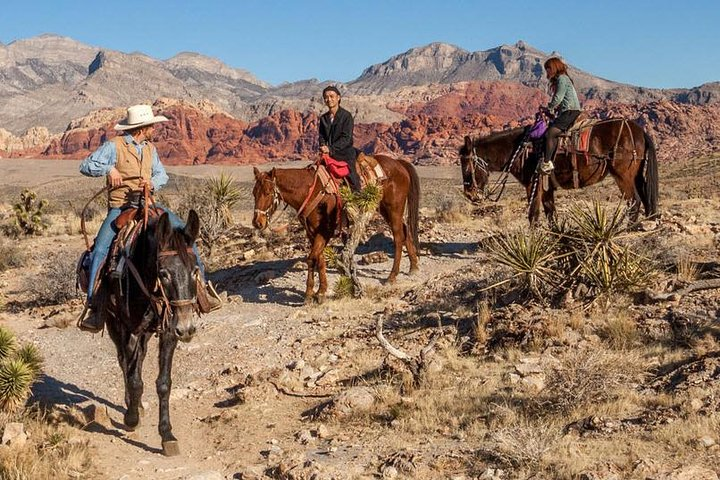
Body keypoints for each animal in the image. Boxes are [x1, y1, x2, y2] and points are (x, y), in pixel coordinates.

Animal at [93, 211, 200, 458]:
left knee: (138, 359)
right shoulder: (129, 330)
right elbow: (134, 380)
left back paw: (138, 405)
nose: (187, 328)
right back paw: (133, 406)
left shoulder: (168, 332)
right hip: (116, 326)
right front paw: (131, 418)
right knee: (124, 362)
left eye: (195, 270)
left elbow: (164, 383)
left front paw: (167, 435)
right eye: (164, 273)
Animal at [253, 155, 422, 304]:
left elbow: (311, 258)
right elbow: (320, 259)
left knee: (398, 238)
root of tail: (398, 163)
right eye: (254, 193)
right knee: (406, 231)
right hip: (384, 209)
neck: (310, 191)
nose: (257, 222)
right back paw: (413, 267)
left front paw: (310, 294)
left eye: (267, 193)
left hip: (394, 209)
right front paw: (321, 291)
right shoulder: (312, 232)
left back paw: (392, 277)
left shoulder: (325, 231)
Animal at [462, 120, 660, 225]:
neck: (522, 150)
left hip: (623, 176)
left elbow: (533, 215)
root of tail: (639, 130)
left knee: (634, 202)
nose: (470, 195)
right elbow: (551, 214)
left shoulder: (533, 186)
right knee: (645, 199)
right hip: (636, 176)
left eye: (466, 167)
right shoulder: (547, 189)